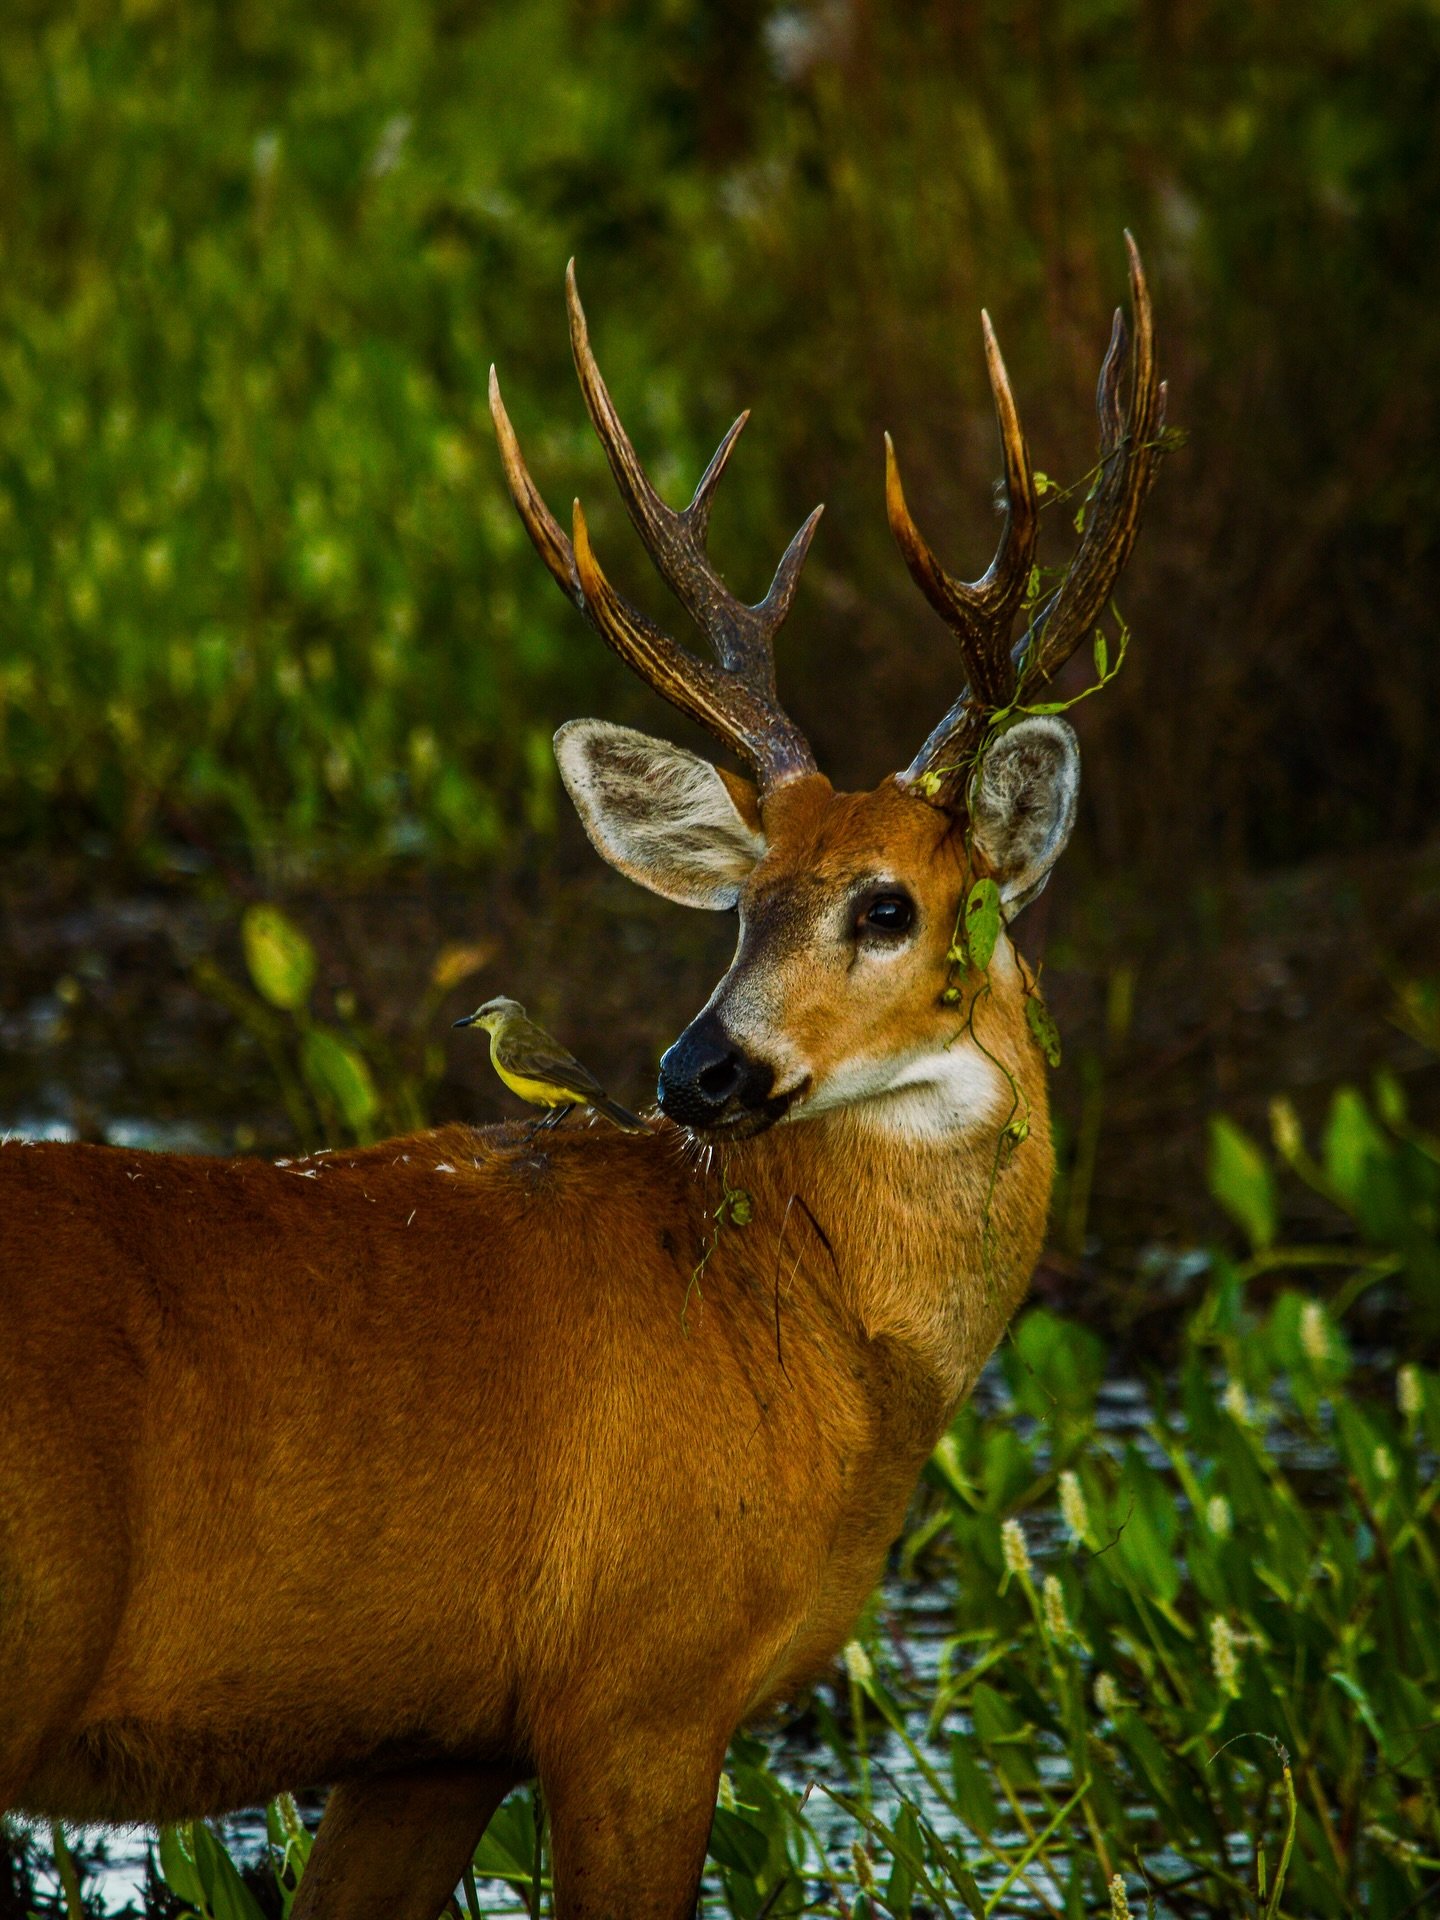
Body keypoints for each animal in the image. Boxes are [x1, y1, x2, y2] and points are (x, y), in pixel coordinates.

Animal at [0, 238, 1164, 1920]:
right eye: (745, 904)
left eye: (886, 906)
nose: (698, 1068)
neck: (807, 1336)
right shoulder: (641, 1693)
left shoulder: (434, 1738)